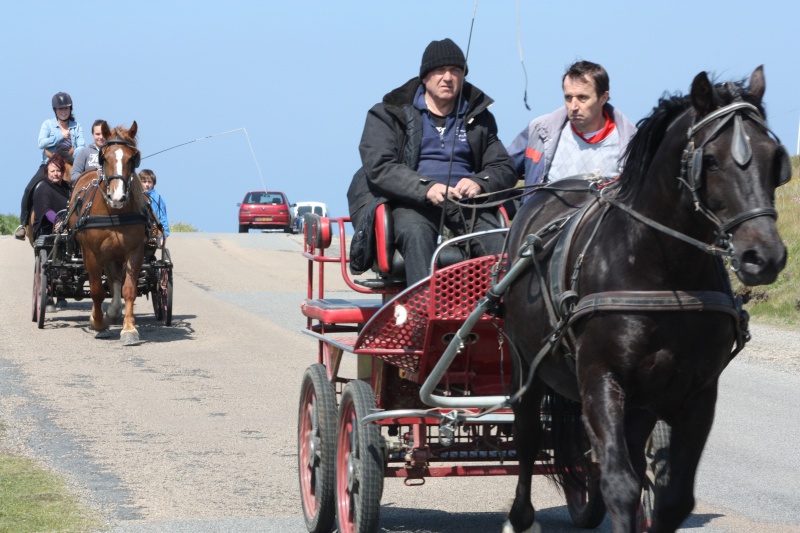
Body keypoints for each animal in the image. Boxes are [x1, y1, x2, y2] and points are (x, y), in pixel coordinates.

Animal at [67, 121, 148, 344]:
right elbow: (96, 291)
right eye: (105, 157)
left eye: (133, 158)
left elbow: (128, 289)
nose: (118, 197)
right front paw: (98, 323)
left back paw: (113, 312)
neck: (115, 212)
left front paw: (129, 329)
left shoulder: (134, 251)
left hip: (115, 254)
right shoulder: (91, 253)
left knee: (114, 280)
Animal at [504, 67, 792, 532]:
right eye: (711, 160)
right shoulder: (601, 378)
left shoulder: (697, 392)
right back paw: (520, 516)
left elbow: (674, 497)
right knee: (528, 439)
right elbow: (620, 484)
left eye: (774, 159)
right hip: (524, 363)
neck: (665, 275)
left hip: (640, 403)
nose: (763, 256)